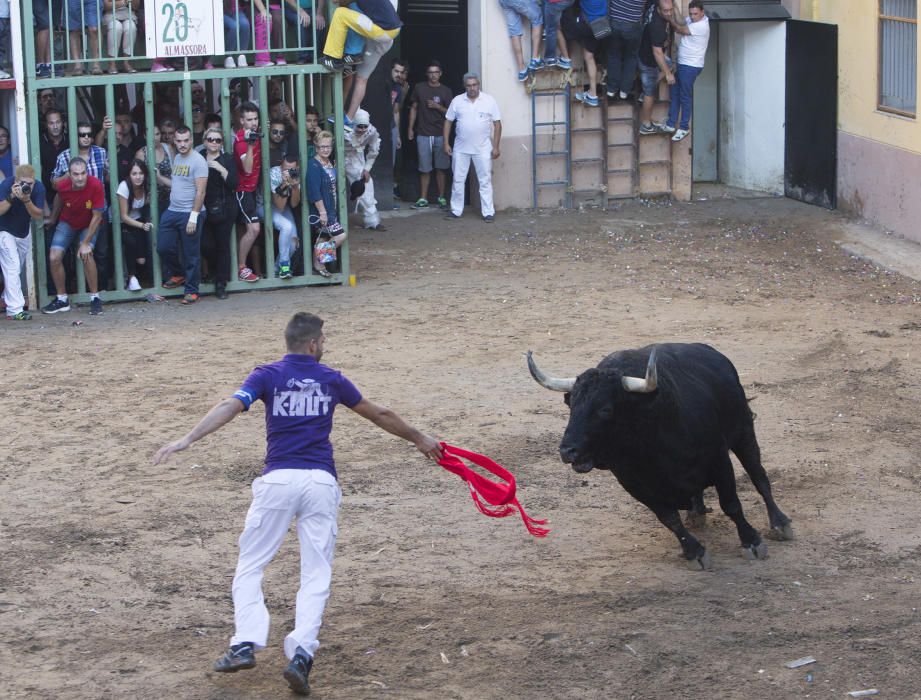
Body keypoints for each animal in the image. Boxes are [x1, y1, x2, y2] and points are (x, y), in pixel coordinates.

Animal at [528, 344, 796, 568]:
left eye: (605, 410)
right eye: (572, 406)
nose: (567, 451)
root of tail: (715, 354)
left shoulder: (719, 460)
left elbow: (731, 504)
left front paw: (752, 541)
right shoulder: (634, 484)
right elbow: (669, 519)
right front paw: (695, 552)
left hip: (743, 431)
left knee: (759, 477)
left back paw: (780, 524)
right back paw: (696, 513)